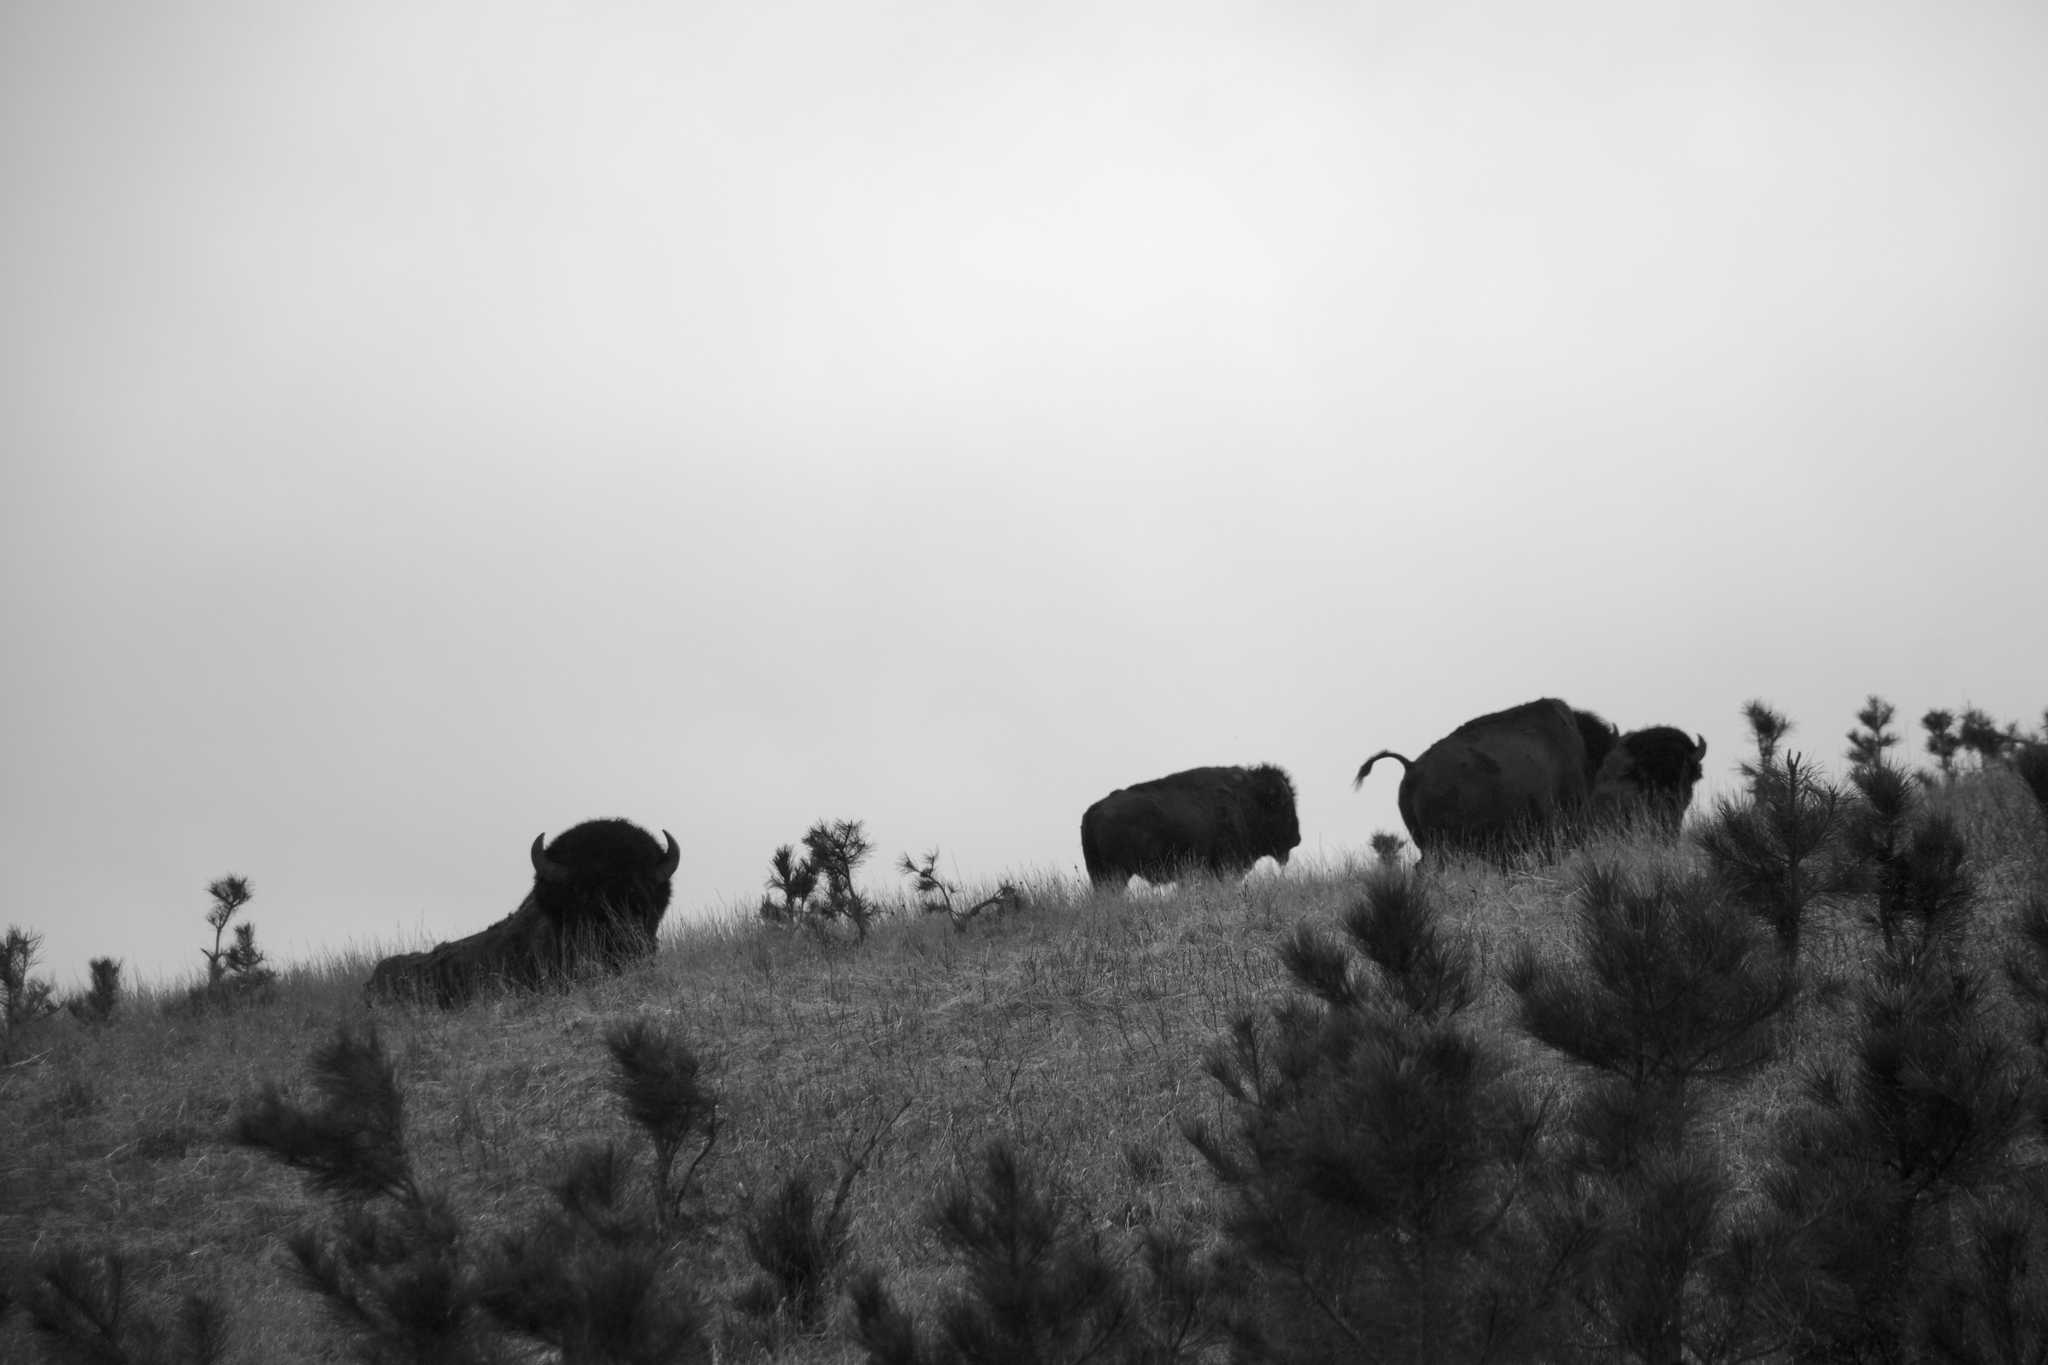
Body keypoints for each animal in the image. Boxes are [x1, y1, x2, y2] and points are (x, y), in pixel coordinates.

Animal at [1081, 765, 1302, 892]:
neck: (1248, 799)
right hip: (1116, 874)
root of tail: (1093, 811)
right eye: (1285, 806)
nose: (1297, 838)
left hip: (1100, 874)